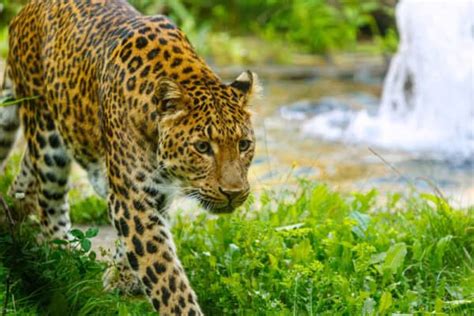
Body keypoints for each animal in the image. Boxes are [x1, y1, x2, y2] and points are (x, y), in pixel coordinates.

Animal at [0, 1, 260, 314]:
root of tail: (26, 10)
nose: (233, 193)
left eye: (244, 144)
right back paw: (62, 251)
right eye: (202, 147)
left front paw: (122, 275)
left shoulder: (156, 193)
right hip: (44, 130)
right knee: (49, 197)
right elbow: (164, 273)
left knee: (26, 177)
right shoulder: (132, 196)